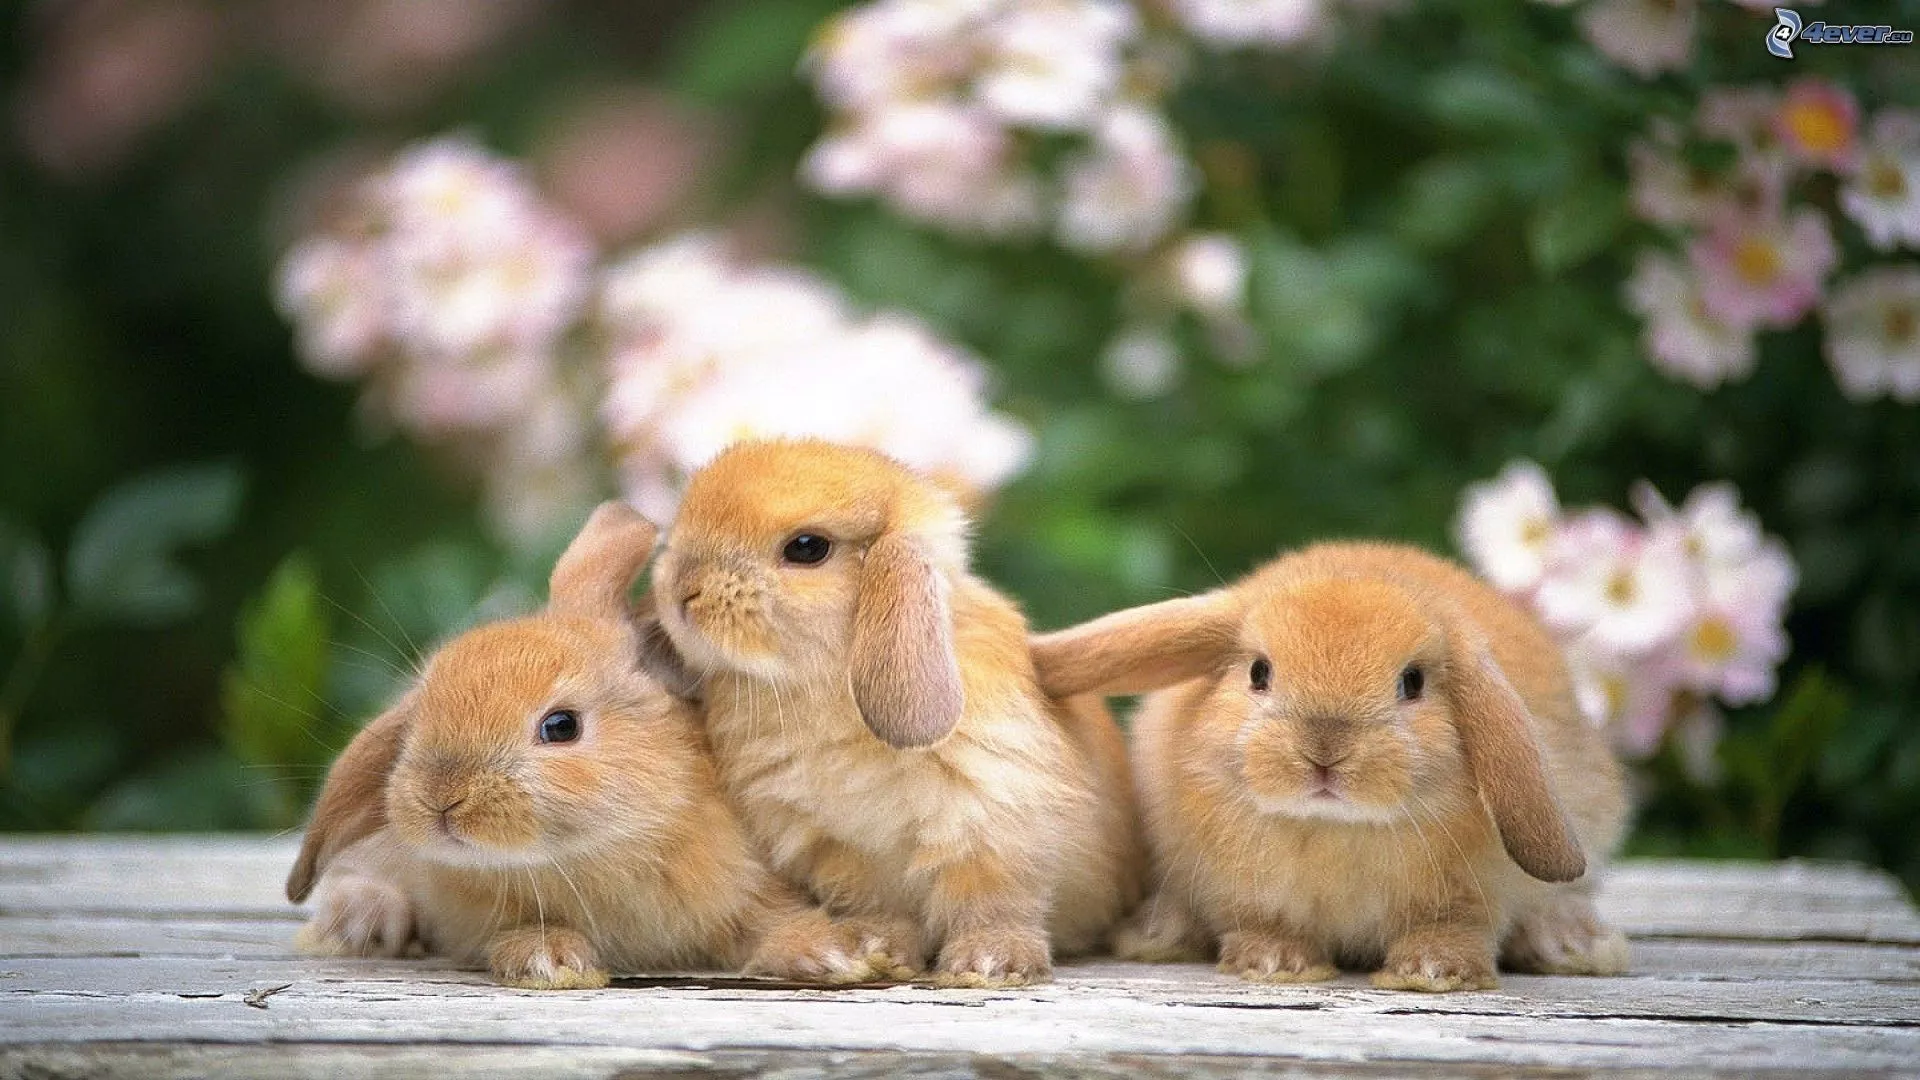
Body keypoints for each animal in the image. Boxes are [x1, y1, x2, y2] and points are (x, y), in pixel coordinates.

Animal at [285, 501, 877, 990]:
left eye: (561, 726)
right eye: (418, 718)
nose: (441, 798)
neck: (599, 853)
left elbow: (768, 924)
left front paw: (837, 953)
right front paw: (549, 960)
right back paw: (361, 921)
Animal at [635, 438, 1143, 987]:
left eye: (807, 548)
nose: (681, 591)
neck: (827, 687)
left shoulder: (995, 826)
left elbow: (994, 902)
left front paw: (990, 963)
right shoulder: (838, 850)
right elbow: (878, 908)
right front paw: (877, 951)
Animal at [1030, 541, 1631, 992]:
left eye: (1412, 682)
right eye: (1259, 672)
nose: (1324, 751)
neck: (1332, 829)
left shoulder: (1469, 897)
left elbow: (1456, 928)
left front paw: (1435, 971)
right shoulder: (1242, 891)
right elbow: (1261, 922)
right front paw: (1275, 962)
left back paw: (1575, 944)